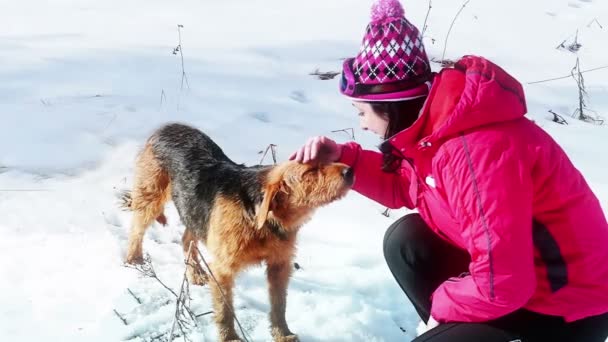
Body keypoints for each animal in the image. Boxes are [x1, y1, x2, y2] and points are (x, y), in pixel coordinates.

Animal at [122, 123, 352, 342]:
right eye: (309, 172)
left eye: (328, 159)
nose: (350, 171)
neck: (261, 217)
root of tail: (167, 127)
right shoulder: (222, 270)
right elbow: (225, 311)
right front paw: (230, 338)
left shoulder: (279, 265)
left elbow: (279, 305)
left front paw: (282, 334)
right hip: (151, 196)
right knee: (137, 229)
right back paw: (134, 259)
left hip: (194, 211)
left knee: (186, 239)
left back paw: (195, 272)